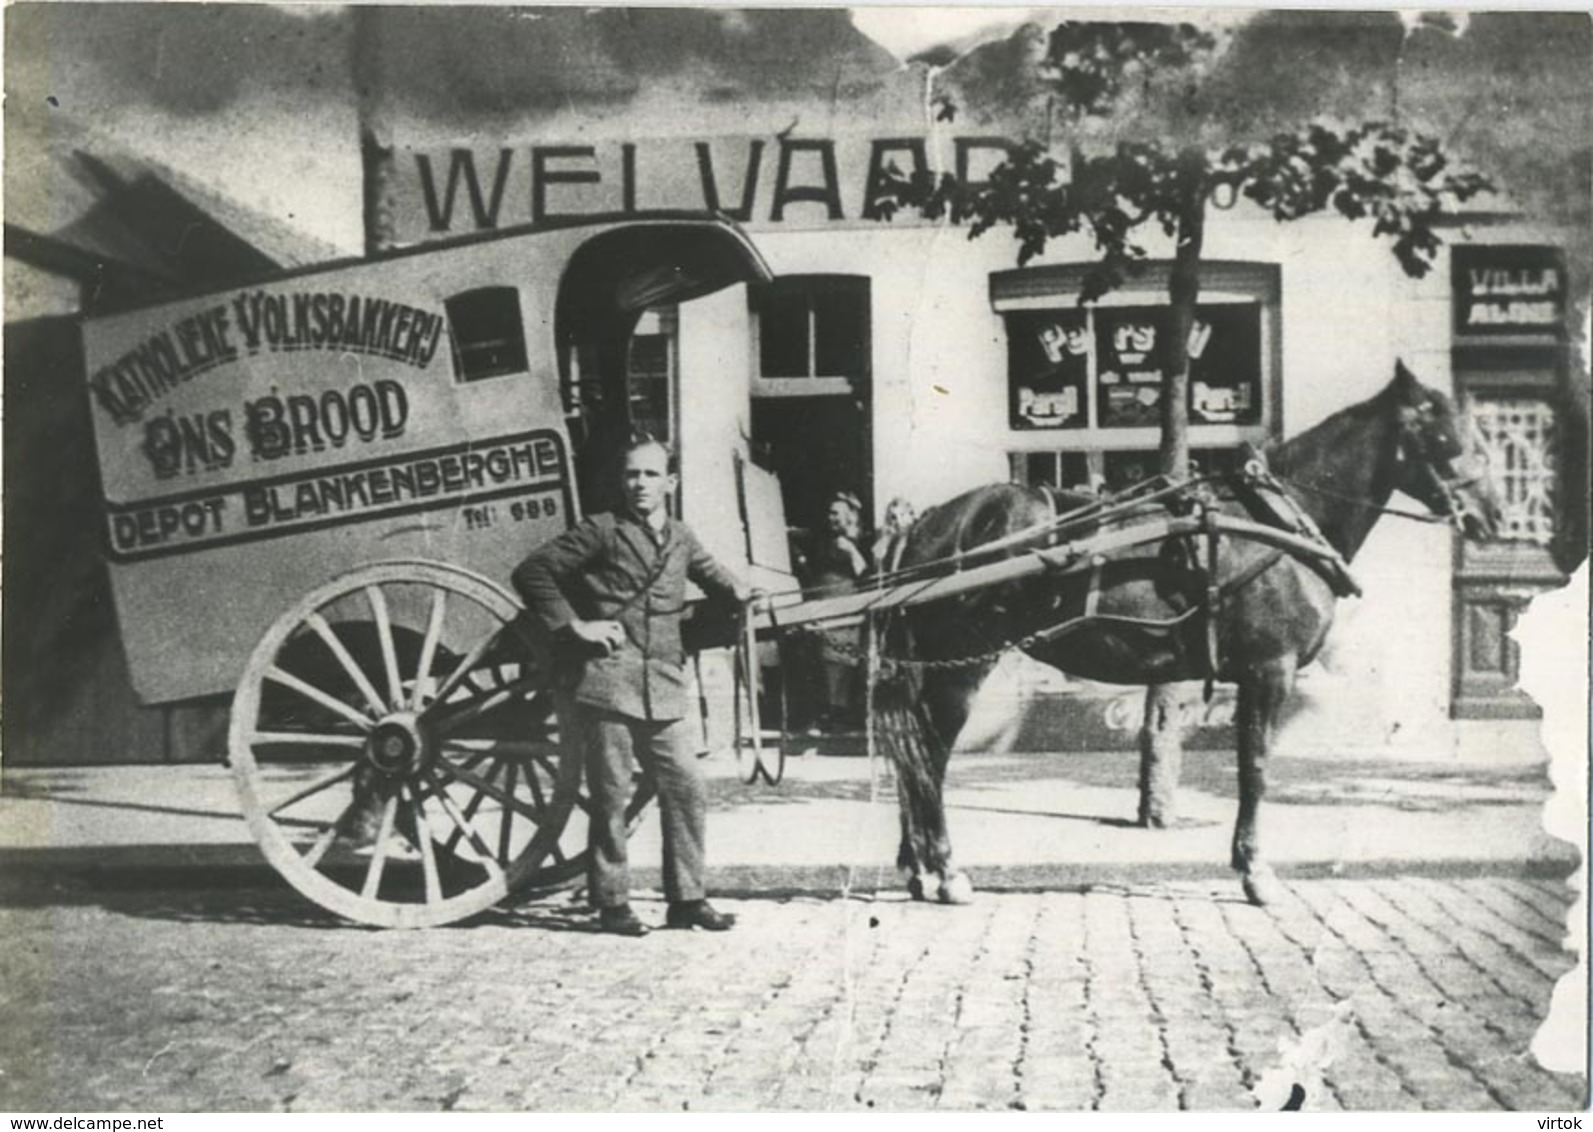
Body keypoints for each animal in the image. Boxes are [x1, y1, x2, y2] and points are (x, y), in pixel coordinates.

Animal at [879, 358, 1497, 910]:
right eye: (1446, 436)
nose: (1493, 518)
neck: (1280, 521)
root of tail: (927, 524)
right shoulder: (1269, 672)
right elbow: (1255, 769)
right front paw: (1256, 872)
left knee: (915, 759)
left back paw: (919, 867)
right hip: (962, 665)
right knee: (930, 757)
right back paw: (947, 871)